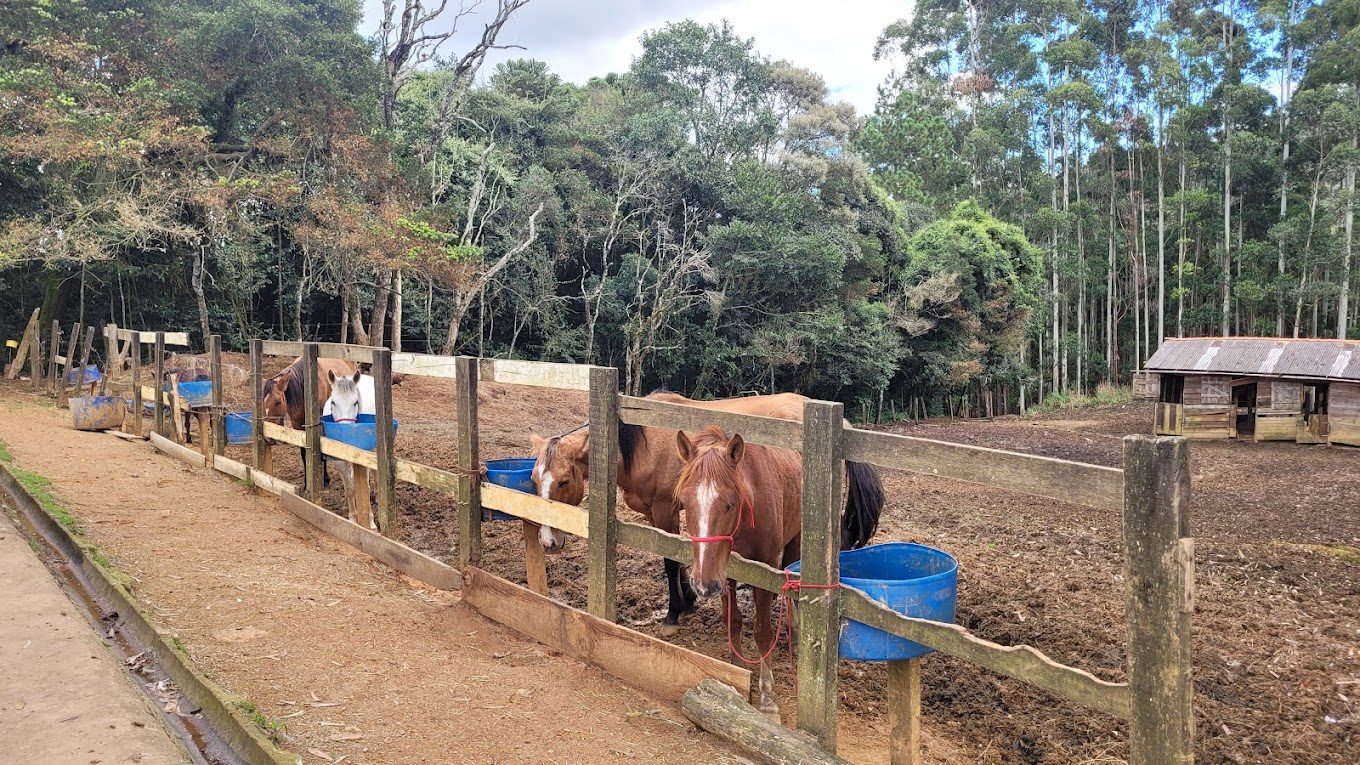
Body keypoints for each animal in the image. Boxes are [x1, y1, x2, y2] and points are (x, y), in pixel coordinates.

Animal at [524, 386, 886, 631]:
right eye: (534, 479)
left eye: (563, 482)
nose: (547, 541)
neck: (645, 443)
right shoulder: (659, 512)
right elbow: (677, 555)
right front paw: (689, 600)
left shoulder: (666, 510)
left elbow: (670, 560)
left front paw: (674, 611)